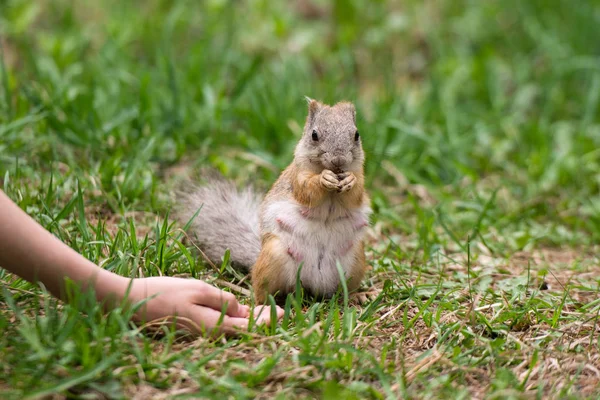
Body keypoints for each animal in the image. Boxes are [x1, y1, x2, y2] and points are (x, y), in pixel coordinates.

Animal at [179, 98, 370, 302]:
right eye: (314, 135)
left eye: (356, 134)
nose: (339, 161)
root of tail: (315, 285)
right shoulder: (297, 177)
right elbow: (307, 191)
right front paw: (322, 179)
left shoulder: (360, 176)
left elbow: (356, 194)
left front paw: (350, 180)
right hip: (273, 256)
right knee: (262, 290)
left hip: (356, 258)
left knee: (345, 290)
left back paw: (358, 295)